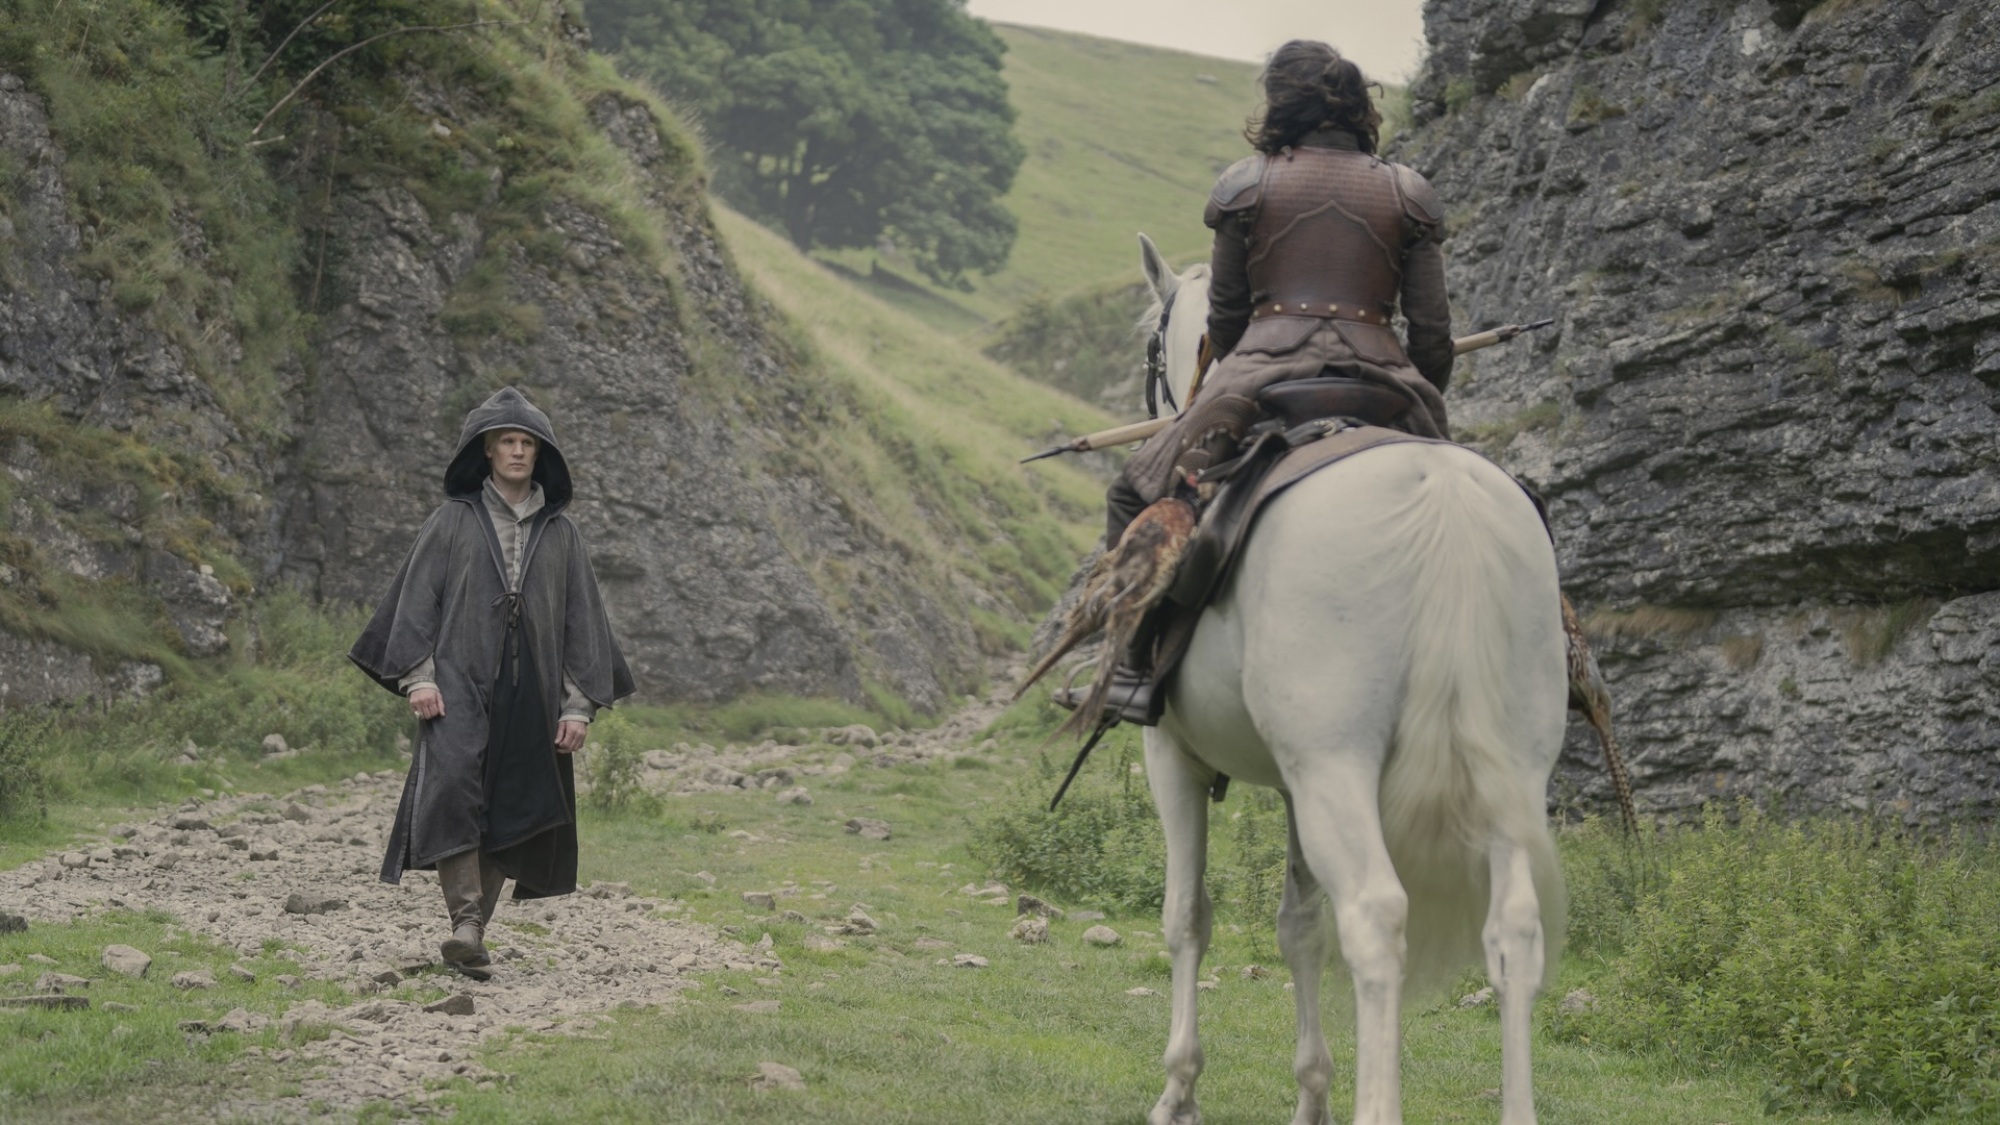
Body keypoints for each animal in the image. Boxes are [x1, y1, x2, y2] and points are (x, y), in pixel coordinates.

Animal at [1128, 230, 1576, 1120]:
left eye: (1152, 348)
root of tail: (1445, 500)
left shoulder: (1176, 756)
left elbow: (1187, 914)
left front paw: (1178, 1089)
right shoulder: (1292, 784)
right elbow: (1298, 922)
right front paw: (1311, 1095)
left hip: (1336, 768)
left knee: (1373, 916)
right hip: (1509, 772)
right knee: (1513, 929)